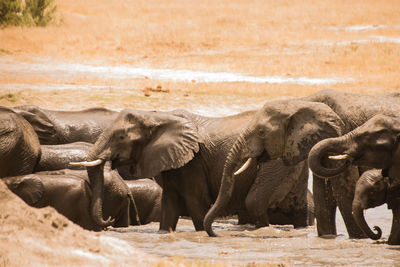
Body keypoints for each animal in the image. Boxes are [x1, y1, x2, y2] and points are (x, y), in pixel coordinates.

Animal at [73, 109, 314, 232]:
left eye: (121, 137)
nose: (109, 220)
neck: (157, 116)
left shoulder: (193, 162)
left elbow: (196, 204)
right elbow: (169, 206)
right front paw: (165, 234)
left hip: (275, 163)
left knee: (254, 203)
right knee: (299, 208)